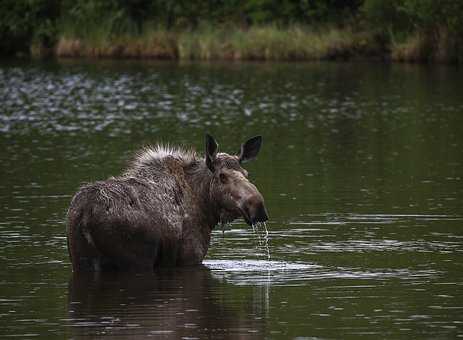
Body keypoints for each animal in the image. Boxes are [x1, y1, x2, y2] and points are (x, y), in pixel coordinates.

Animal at [66, 135, 268, 270]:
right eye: (222, 176)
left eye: (246, 173)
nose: (258, 207)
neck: (206, 208)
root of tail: (84, 216)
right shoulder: (190, 257)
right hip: (135, 259)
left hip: (81, 260)